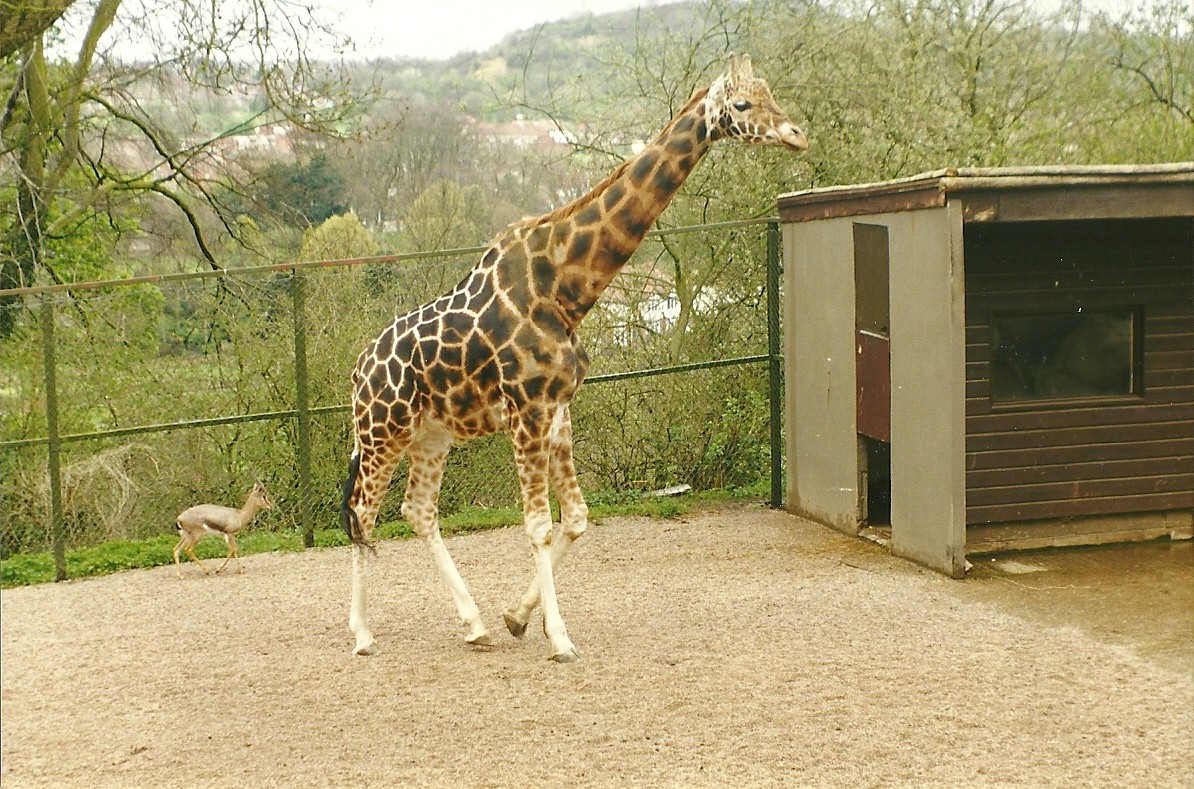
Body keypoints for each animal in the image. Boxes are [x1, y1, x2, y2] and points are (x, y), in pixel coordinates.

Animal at [340, 54, 807, 662]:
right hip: (382, 432)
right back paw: (362, 634)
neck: (564, 288)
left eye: (770, 92)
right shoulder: (528, 412)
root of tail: (357, 370)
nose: (797, 134)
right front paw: (559, 638)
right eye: (743, 104)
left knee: (416, 510)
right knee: (362, 513)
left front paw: (517, 618)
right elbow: (538, 526)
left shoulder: (559, 412)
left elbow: (579, 519)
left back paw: (475, 624)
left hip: (431, 434)